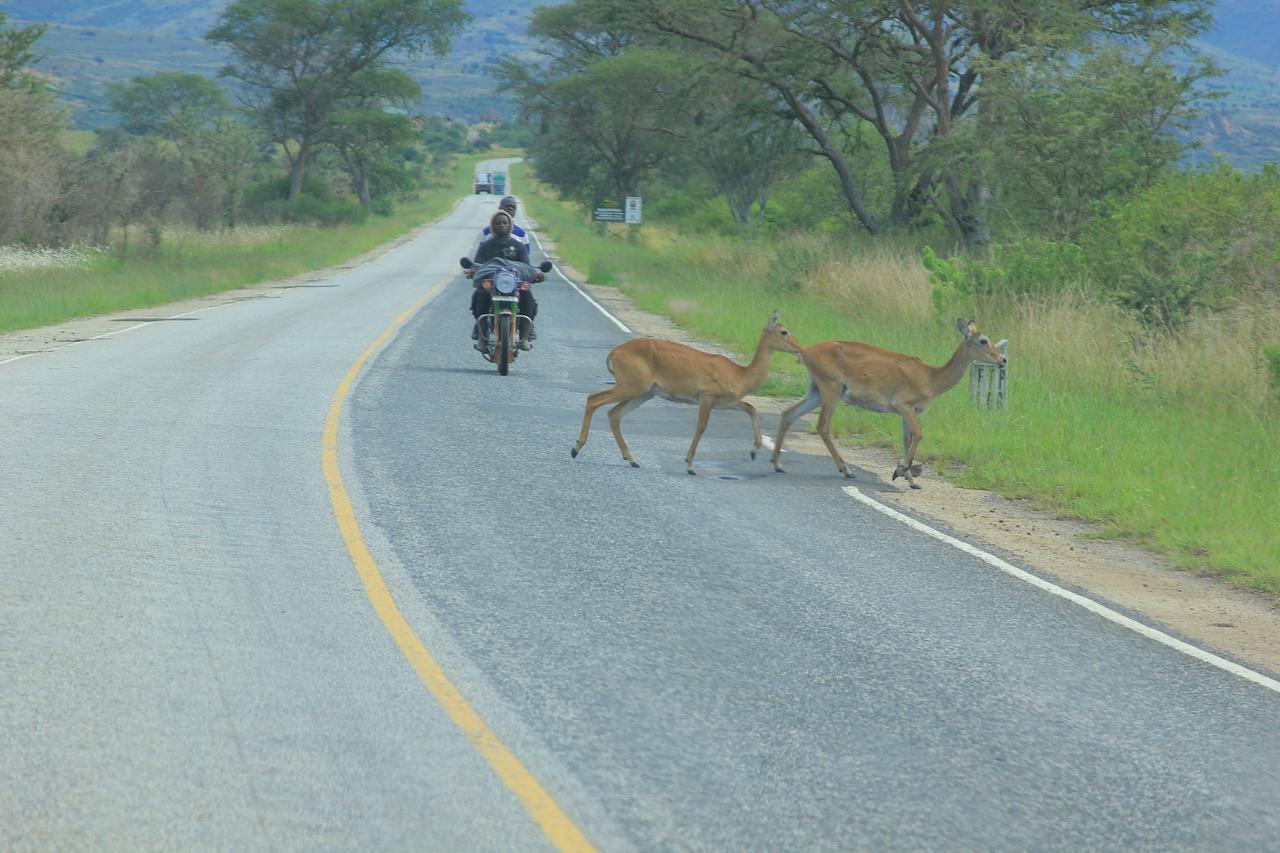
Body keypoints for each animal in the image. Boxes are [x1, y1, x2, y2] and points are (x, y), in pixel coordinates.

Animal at [570, 311, 798, 471]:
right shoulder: (706, 395)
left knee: (614, 413)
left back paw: (631, 458)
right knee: (593, 399)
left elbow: (751, 408)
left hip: (644, 392)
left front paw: (754, 451)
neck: (739, 374)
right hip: (631, 385)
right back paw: (576, 448)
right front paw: (689, 464)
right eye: (784, 331)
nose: (798, 348)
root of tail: (613, 353)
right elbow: (701, 427)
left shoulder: (727, 402)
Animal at [773, 317, 1003, 491]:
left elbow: (906, 439)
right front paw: (900, 470)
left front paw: (910, 480)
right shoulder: (903, 406)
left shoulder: (908, 412)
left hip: (816, 391)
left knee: (788, 413)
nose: (1002, 359)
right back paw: (847, 470)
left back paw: (777, 464)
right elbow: (919, 434)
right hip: (831, 390)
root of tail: (805, 350)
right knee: (822, 426)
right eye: (983, 340)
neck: (931, 378)